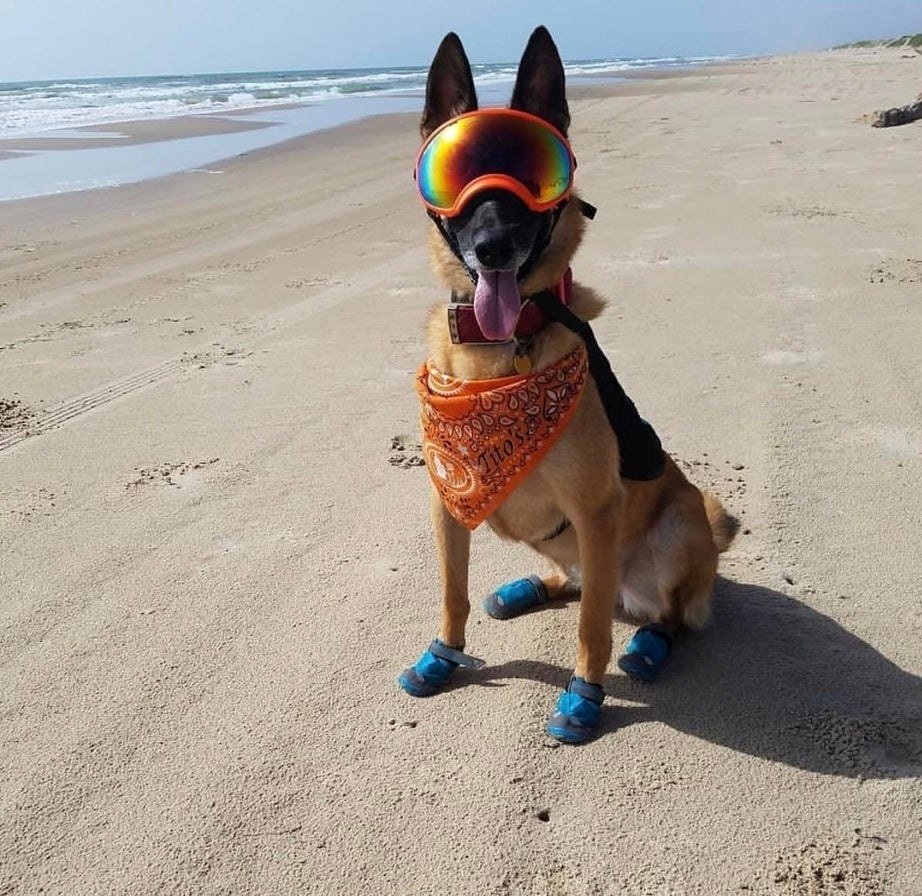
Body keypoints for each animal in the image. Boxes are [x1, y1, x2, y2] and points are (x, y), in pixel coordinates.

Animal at [399, 26, 736, 743]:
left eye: (532, 177)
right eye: (456, 177)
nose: (494, 247)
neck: (498, 355)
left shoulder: (596, 508)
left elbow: (590, 630)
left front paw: (585, 694)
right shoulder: (447, 503)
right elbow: (452, 593)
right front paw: (444, 656)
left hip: (675, 524)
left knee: (660, 613)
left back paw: (648, 644)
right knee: (579, 581)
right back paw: (531, 587)